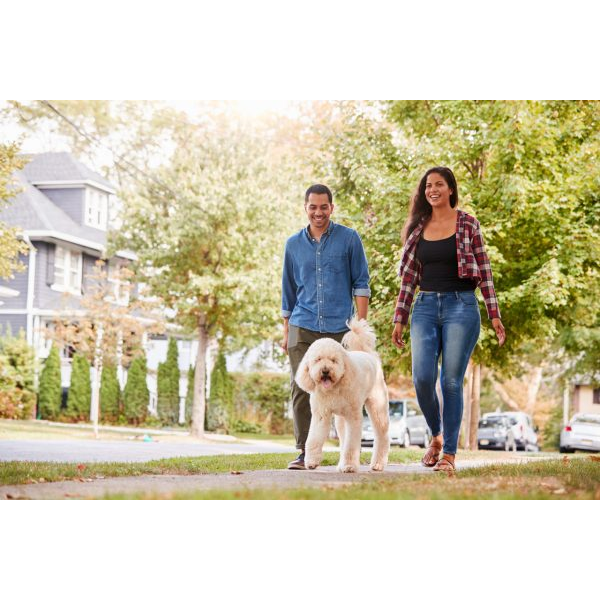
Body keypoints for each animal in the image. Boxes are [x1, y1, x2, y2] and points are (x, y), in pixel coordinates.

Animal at [294, 318, 390, 474]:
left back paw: (378, 464)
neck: (333, 388)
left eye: (334, 360)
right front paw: (312, 462)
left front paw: (349, 466)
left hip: (377, 407)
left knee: (382, 436)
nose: (325, 371)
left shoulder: (353, 417)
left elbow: (351, 444)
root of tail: (369, 355)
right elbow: (314, 439)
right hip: (340, 419)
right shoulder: (321, 415)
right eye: (318, 359)